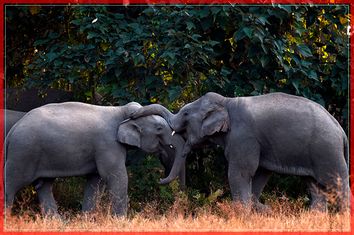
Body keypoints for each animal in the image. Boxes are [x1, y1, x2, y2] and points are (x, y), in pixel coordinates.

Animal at [4, 101, 185, 217]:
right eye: (159, 128)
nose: (160, 179)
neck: (120, 111)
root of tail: (11, 133)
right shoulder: (107, 144)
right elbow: (115, 176)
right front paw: (120, 222)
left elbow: (95, 180)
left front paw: (87, 220)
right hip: (22, 153)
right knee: (11, 184)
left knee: (44, 185)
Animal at [131, 91, 352, 211]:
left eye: (185, 113)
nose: (132, 113)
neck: (226, 101)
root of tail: (341, 132)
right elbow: (260, 173)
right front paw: (261, 209)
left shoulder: (243, 136)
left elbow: (240, 173)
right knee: (316, 189)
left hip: (327, 150)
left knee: (337, 184)